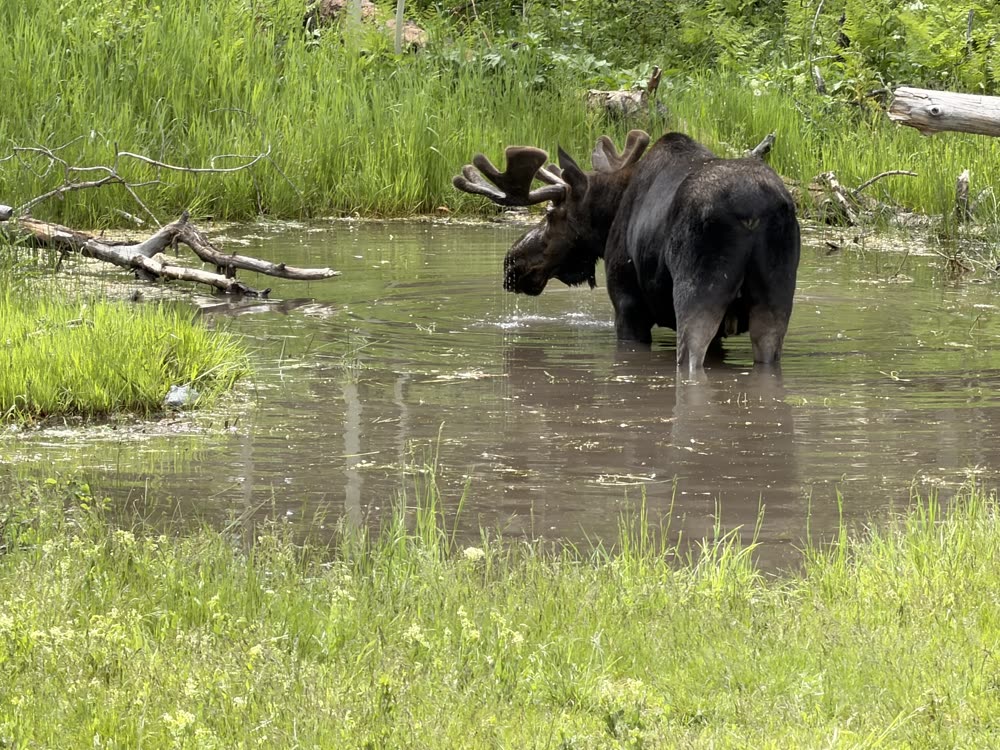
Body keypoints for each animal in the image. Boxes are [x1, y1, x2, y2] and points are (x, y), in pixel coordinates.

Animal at [452, 130, 801, 376]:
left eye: (551, 215)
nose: (511, 262)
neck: (612, 210)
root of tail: (752, 211)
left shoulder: (627, 305)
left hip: (697, 292)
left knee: (690, 359)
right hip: (775, 301)